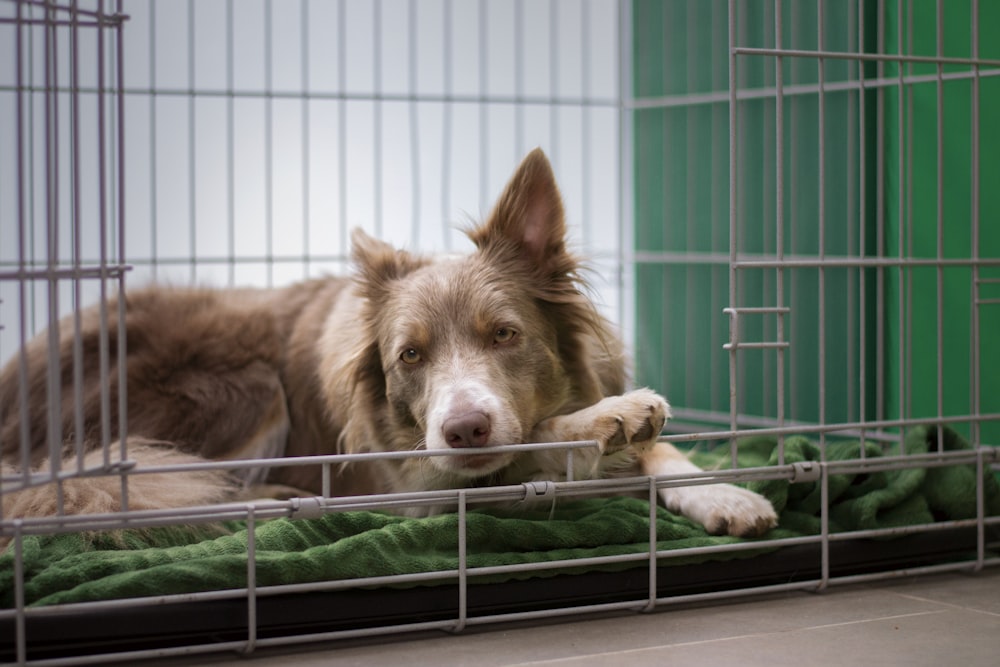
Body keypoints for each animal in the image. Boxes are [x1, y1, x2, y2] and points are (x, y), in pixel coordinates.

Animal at [0, 149, 780, 540]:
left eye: (505, 334)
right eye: (410, 356)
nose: (464, 427)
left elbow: (664, 452)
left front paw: (723, 491)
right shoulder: (418, 484)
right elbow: (530, 445)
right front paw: (606, 422)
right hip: (243, 385)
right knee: (152, 493)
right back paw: (279, 500)